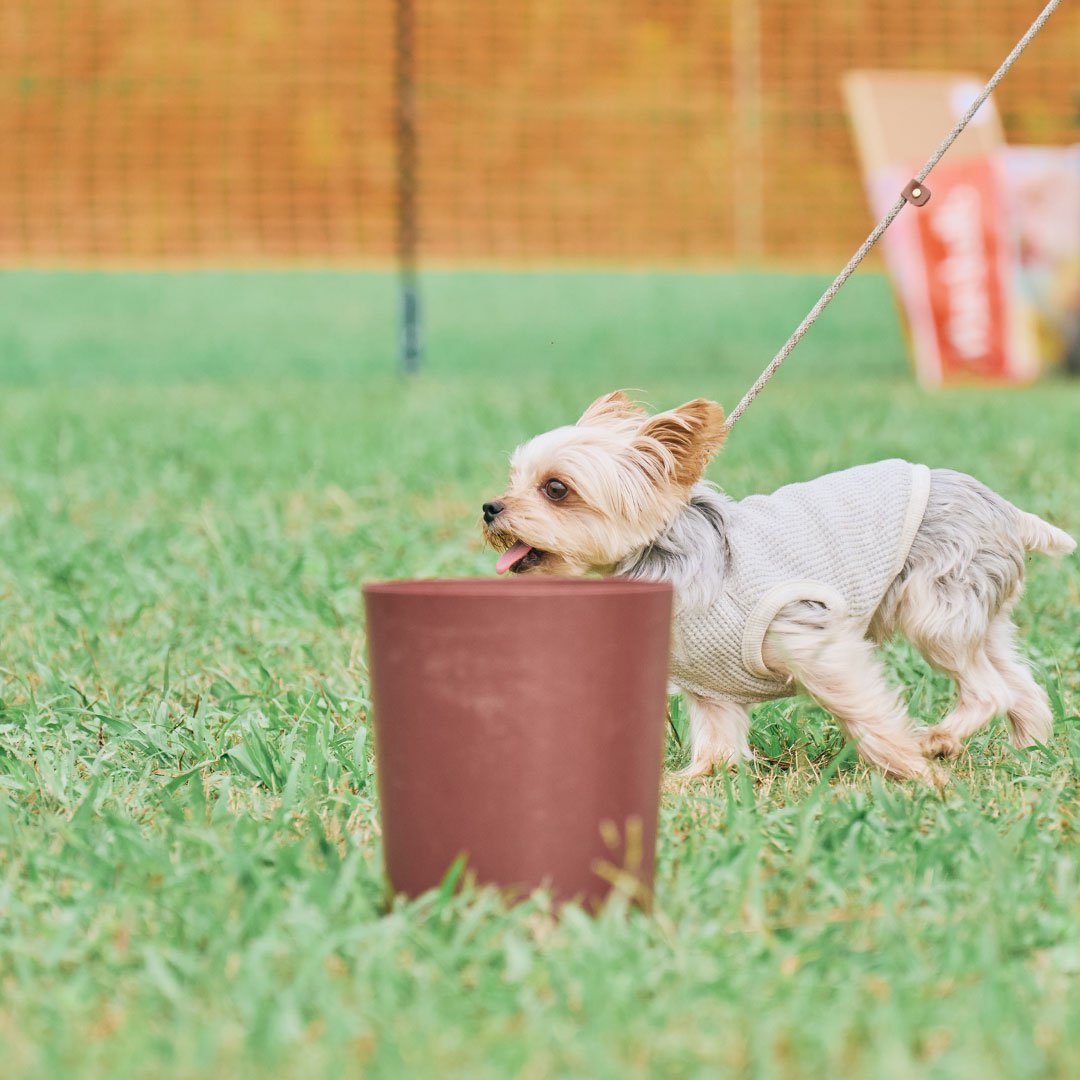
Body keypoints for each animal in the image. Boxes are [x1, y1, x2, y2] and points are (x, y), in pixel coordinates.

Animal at [486, 393, 1075, 781]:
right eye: (514, 480)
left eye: (556, 489)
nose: (490, 508)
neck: (663, 554)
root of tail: (1006, 511)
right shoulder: (710, 685)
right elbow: (716, 744)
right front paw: (687, 785)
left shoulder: (816, 642)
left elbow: (867, 711)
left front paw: (914, 774)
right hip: (977, 613)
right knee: (1019, 683)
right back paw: (1029, 752)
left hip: (933, 610)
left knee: (988, 688)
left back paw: (940, 741)